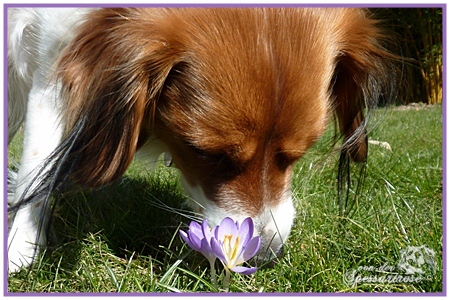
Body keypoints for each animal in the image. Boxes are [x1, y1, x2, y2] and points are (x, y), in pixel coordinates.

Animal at [7, 7, 394, 274]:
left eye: (296, 156)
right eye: (208, 154)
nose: (265, 253)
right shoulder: (51, 71)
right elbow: (35, 170)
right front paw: (20, 247)